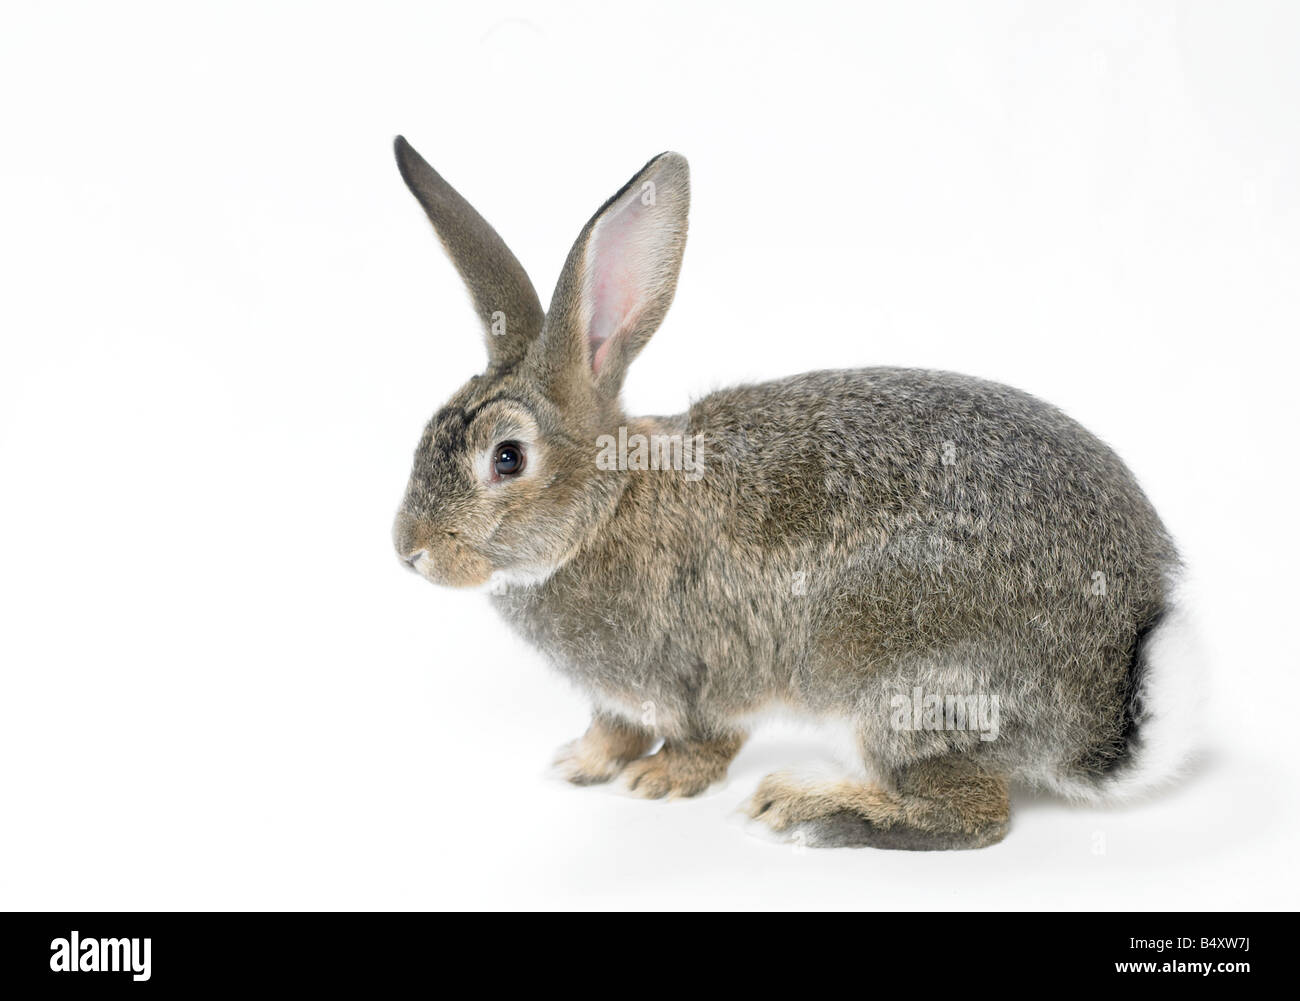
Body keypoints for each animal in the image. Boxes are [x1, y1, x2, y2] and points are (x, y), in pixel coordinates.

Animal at [387, 136, 1196, 847]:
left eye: (508, 457)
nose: (409, 551)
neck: (606, 506)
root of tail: (1103, 695)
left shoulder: (697, 673)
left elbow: (705, 739)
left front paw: (659, 781)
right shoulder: (622, 697)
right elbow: (612, 727)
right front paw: (580, 762)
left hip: (889, 679)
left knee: (973, 813)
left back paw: (806, 808)